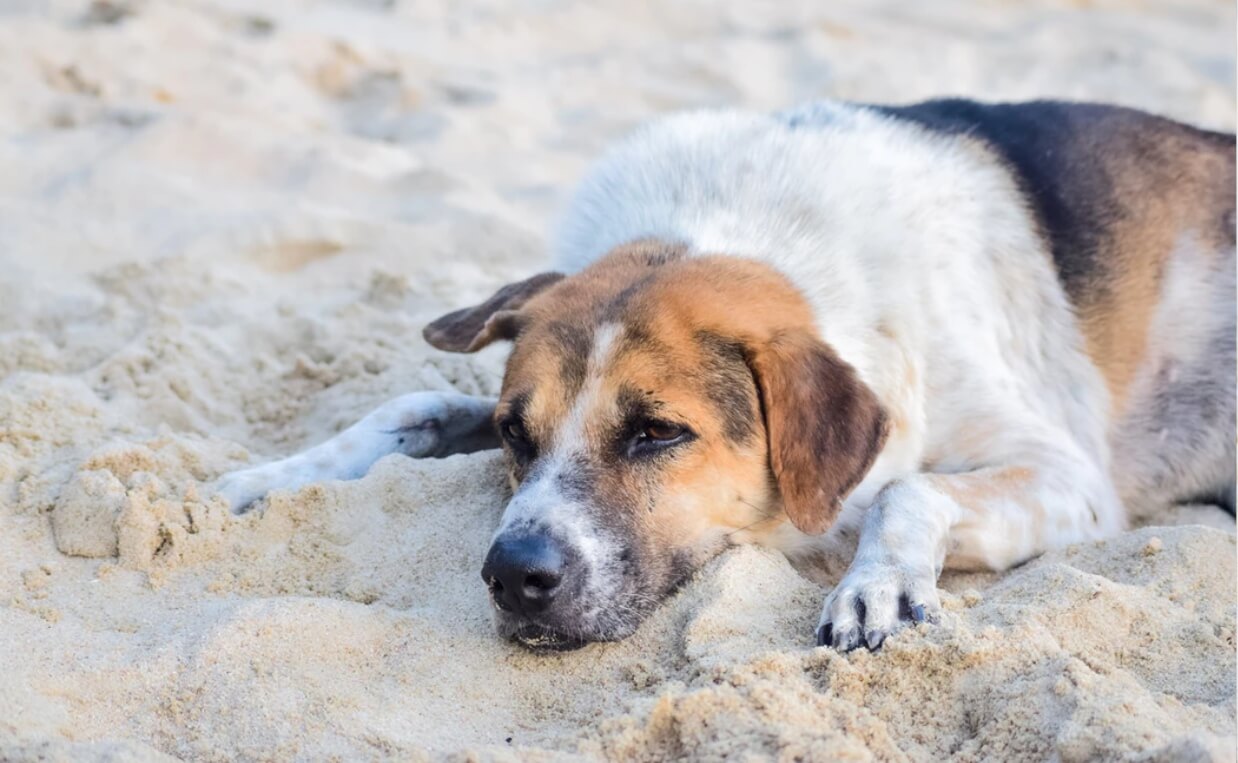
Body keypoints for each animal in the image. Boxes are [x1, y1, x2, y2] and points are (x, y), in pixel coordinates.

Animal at [217, 98, 1233, 654]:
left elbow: (905, 486)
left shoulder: (1071, 476)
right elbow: (415, 401)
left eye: (658, 432)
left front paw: (876, 585)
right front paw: (266, 479)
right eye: (515, 433)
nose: (511, 577)